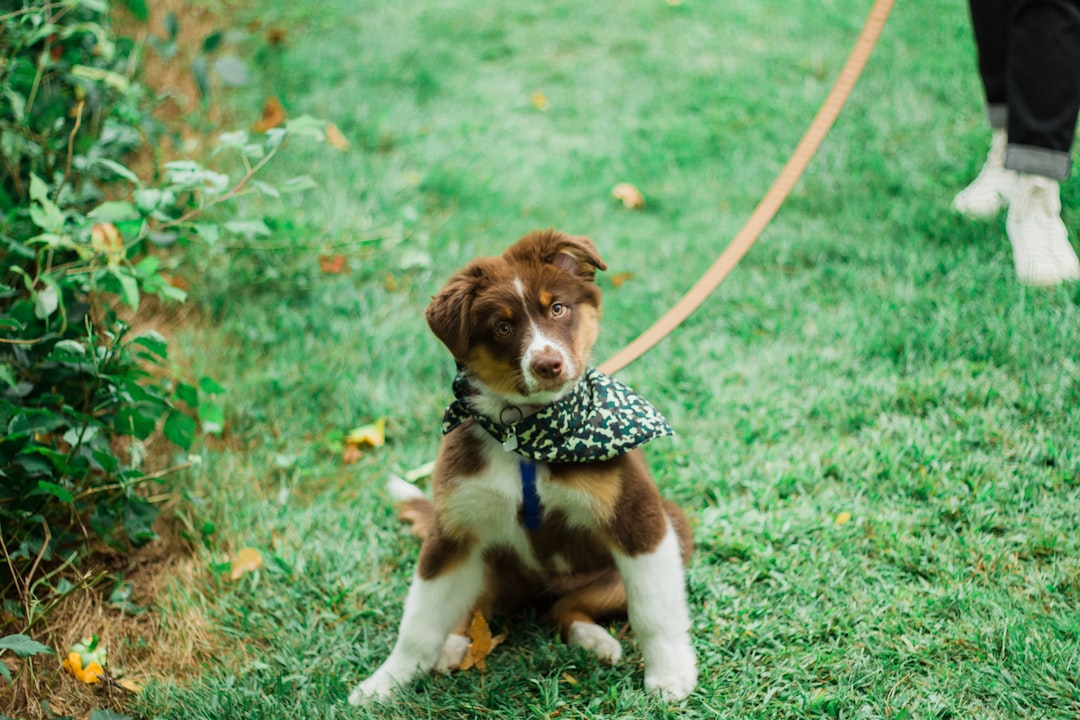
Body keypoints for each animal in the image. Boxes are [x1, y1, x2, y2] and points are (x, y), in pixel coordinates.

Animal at [349, 229, 695, 703]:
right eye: (503, 326)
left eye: (558, 308)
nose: (548, 364)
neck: (528, 434)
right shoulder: (452, 529)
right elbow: (418, 622)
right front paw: (384, 683)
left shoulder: (638, 516)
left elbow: (654, 609)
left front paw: (670, 677)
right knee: (477, 607)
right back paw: (454, 644)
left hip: (667, 532)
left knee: (565, 608)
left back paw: (594, 639)